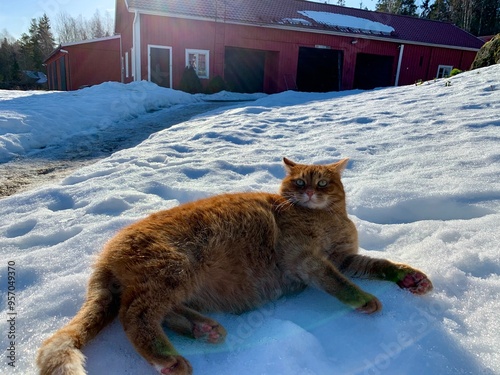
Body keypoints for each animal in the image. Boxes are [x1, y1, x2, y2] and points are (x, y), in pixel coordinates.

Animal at [37, 159, 432, 375]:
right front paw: (364, 299)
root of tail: (106, 251)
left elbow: (379, 263)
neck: (327, 218)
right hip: (174, 269)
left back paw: (204, 330)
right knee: (134, 314)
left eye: (322, 182)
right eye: (298, 181)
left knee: (162, 311)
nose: (308, 192)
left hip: (179, 283)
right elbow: (339, 284)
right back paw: (168, 358)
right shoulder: (308, 260)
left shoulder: (344, 258)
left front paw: (409, 277)